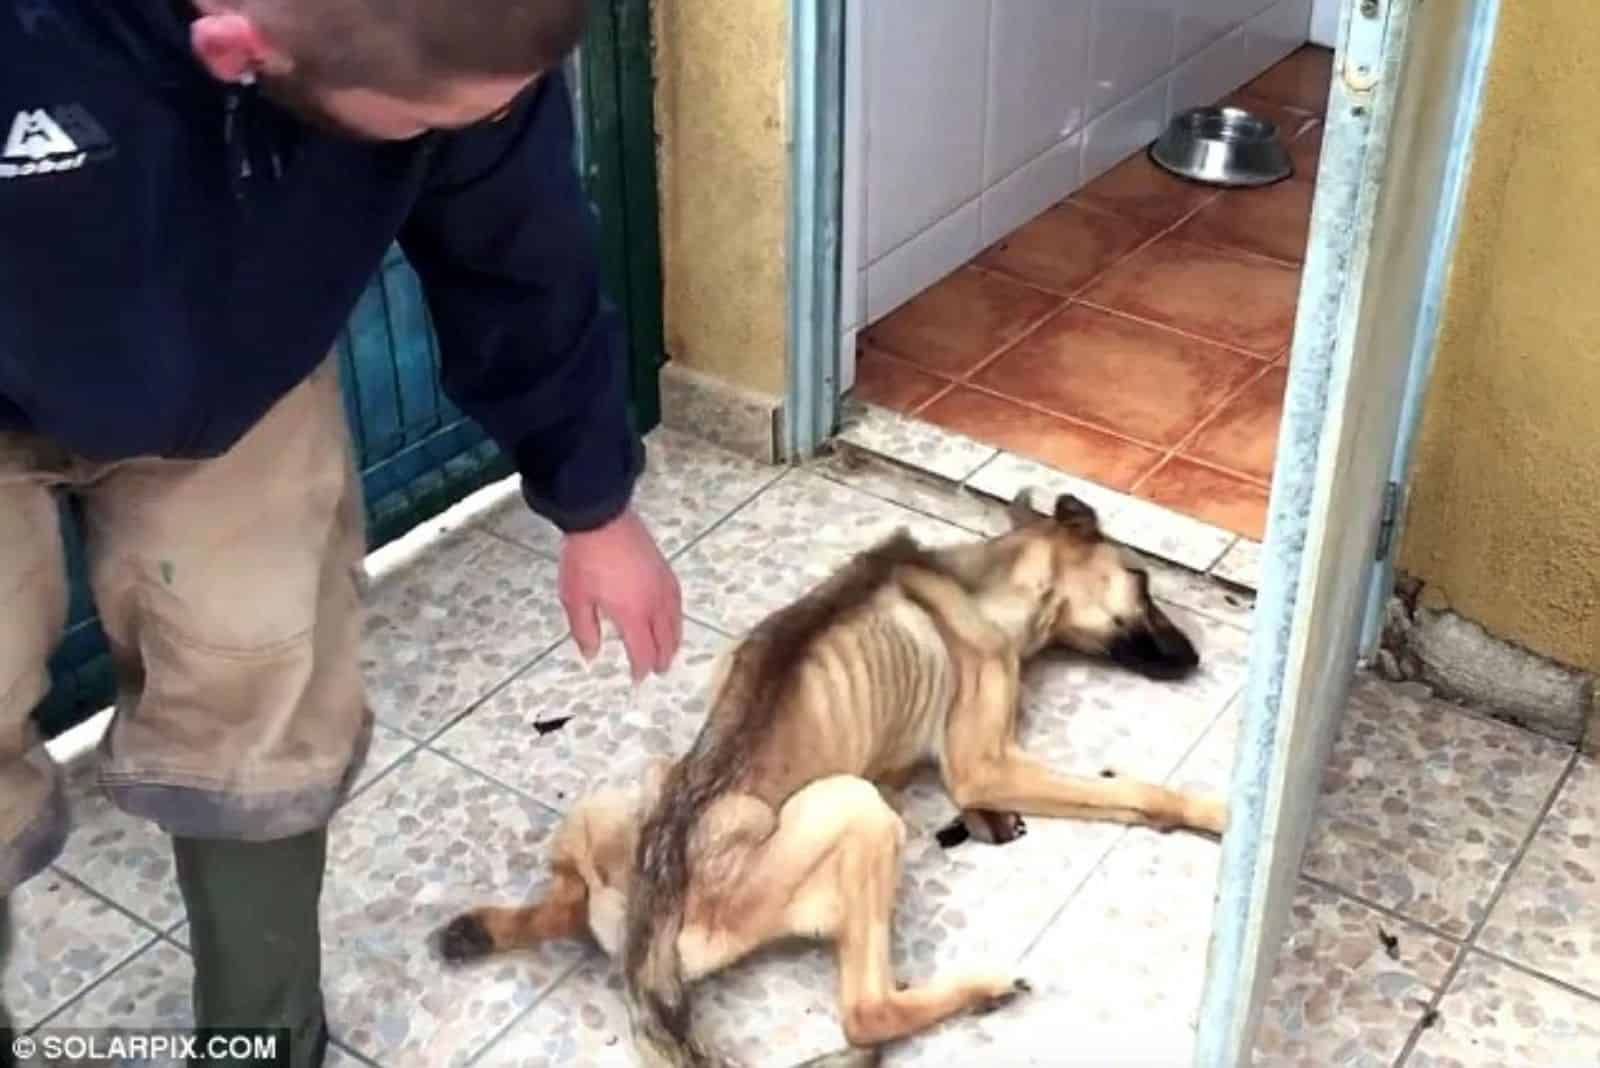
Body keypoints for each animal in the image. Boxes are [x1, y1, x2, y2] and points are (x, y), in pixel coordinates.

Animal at [432, 489, 1228, 1061]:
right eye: (1143, 581)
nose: (1196, 661)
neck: (983, 579)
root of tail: (645, 940)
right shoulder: (985, 762)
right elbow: (1132, 790)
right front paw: (1215, 811)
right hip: (857, 810)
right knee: (866, 1014)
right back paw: (980, 988)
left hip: (624, 795)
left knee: (564, 895)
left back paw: (483, 927)